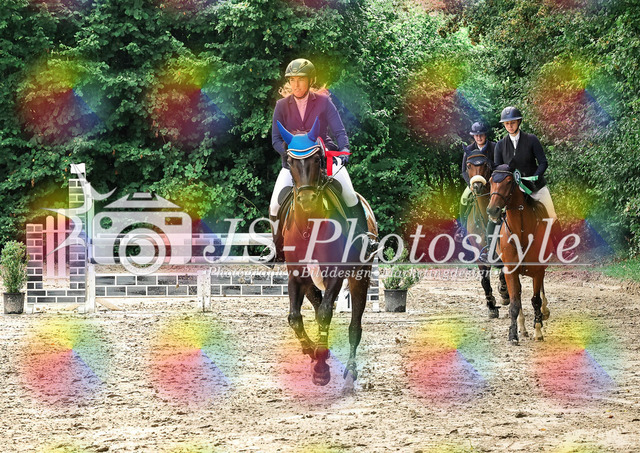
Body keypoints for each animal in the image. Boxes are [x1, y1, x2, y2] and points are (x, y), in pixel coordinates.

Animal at [275, 117, 376, 389]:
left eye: (318, 159)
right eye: (290, 161)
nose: (307, 201)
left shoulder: (335, 273)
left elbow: (324, 314)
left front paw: (321, 369)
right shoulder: (296, 274)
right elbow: (295, 317)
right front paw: (314, 352)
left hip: (360, 275)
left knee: (354, 324)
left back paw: (350, 370)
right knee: (315, 302)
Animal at [464, 153, 509, 318]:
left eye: (486, 165)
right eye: (468, 165)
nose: (477, 185)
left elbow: (503, 272)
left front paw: (504, 293)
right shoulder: (480, 254)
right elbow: (484, 280)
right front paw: (491, 306)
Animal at [486, 163, 551, 344]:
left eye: (509, 182)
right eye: (490, 181)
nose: (492, 210)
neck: (520, 231)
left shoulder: (538, 271)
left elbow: (536, 300)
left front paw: (538, 330)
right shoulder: (510, 271)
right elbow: (515, 302)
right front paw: (513, 334)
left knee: (540, 293)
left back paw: (543, 314)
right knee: (520, 295)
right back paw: (523, 327)